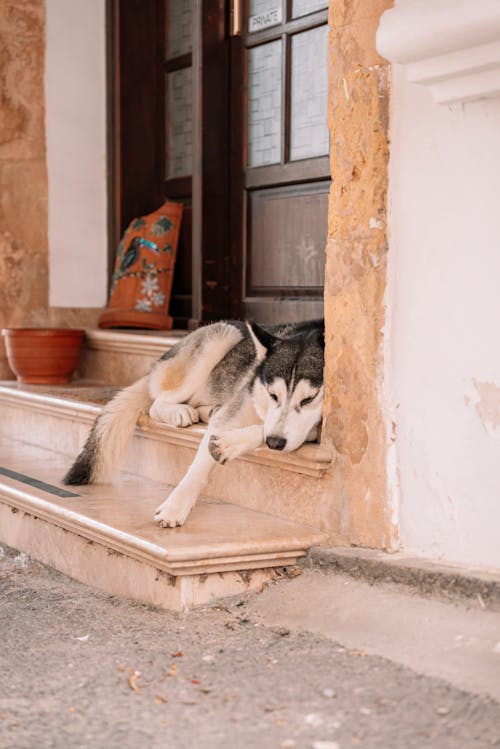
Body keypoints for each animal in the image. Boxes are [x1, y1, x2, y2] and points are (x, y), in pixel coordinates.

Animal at [63, 320, 324, 524]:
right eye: (273, 395)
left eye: (309, 399)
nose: (275, 443)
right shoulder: (233, 413)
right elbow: (198, 467)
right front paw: (175, 506)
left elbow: (267, 429)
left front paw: (230, 444)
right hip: (222, 336)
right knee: (156, 402)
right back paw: (179, 412)